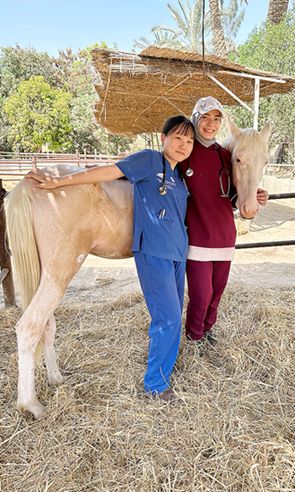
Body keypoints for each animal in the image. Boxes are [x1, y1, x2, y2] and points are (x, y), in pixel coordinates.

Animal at [4, 120, 272, 418]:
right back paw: (31, 404)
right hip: (59, 272)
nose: (250, 208)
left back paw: (55, 378)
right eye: (238, 159)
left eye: (265, 161)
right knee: (29, 327)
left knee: (46, 324)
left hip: (46, 275)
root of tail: (32, 181)